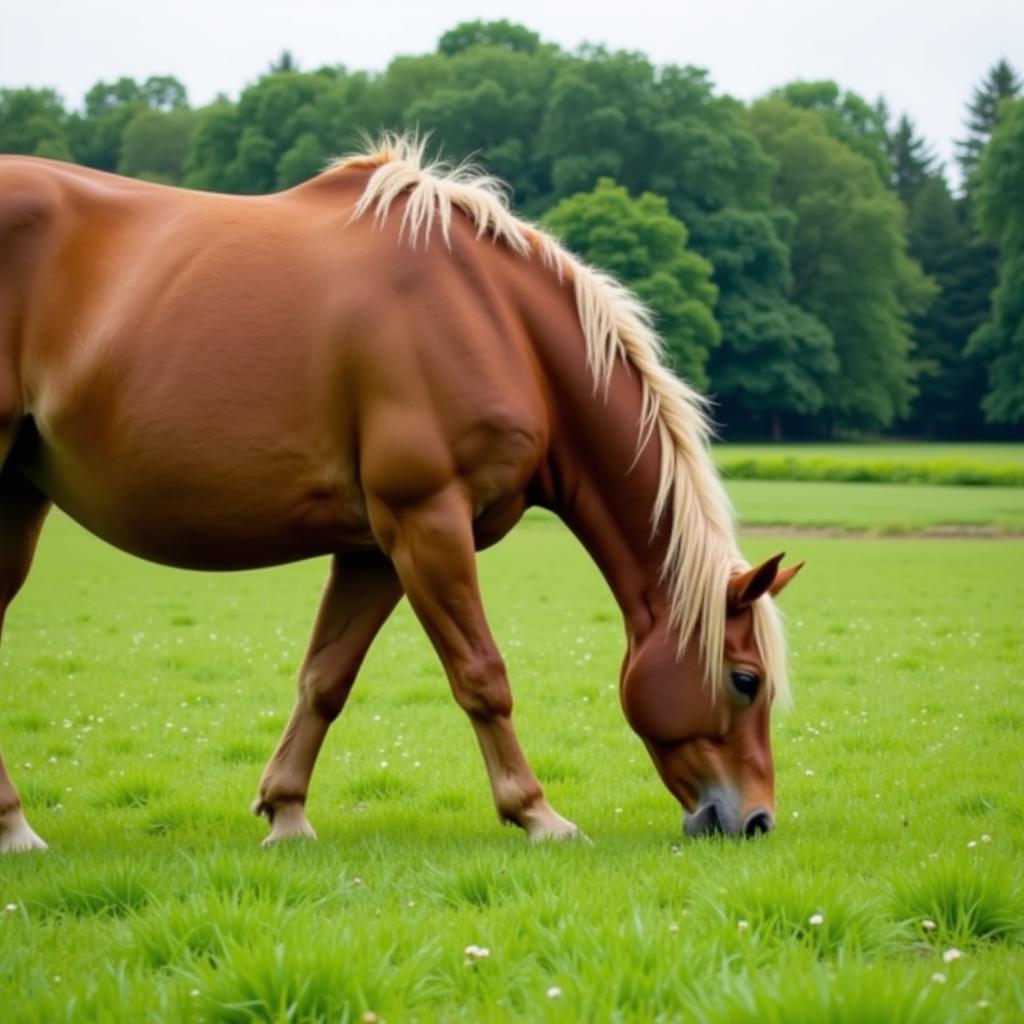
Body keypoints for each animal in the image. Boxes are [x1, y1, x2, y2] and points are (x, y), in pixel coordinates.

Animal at [0, 138, 798, 856]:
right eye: (746, 680)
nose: (756, 821)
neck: (492, 319)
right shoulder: (427, 524)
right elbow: (482, 676)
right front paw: (538, 815)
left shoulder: (375, 551)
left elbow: (325, 678)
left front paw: (287, 815)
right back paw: (16, 829)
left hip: (19, 496)